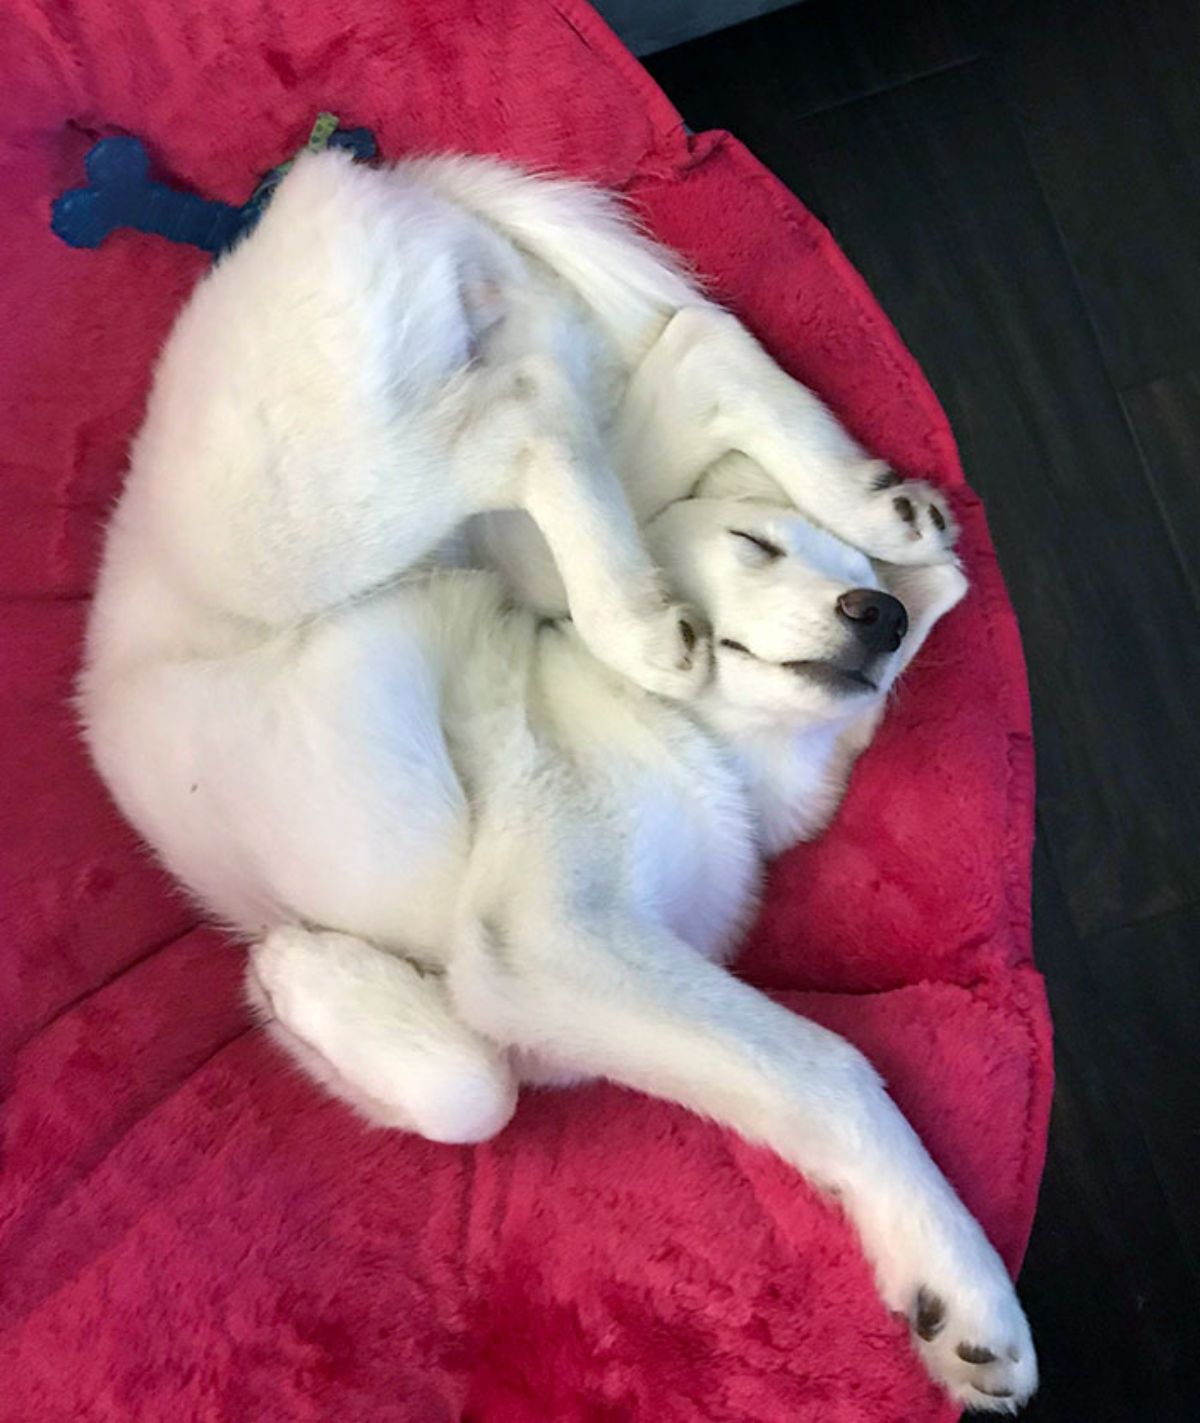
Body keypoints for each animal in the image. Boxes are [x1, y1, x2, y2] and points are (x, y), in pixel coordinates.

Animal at [82, 150, 1041, 1405]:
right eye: (756, 549)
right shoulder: (551, 944)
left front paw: (312, 990)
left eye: (871, 616)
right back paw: (651, 619)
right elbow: (814, 1070)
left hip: (482, 496)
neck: (702, 753)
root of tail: (358, 181)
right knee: (530, 422)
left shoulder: (584, 978)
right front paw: (966, 1287)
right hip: (333, 515)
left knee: (679, 352)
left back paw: (873, 510)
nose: (877, 615)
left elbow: (482, 1086)